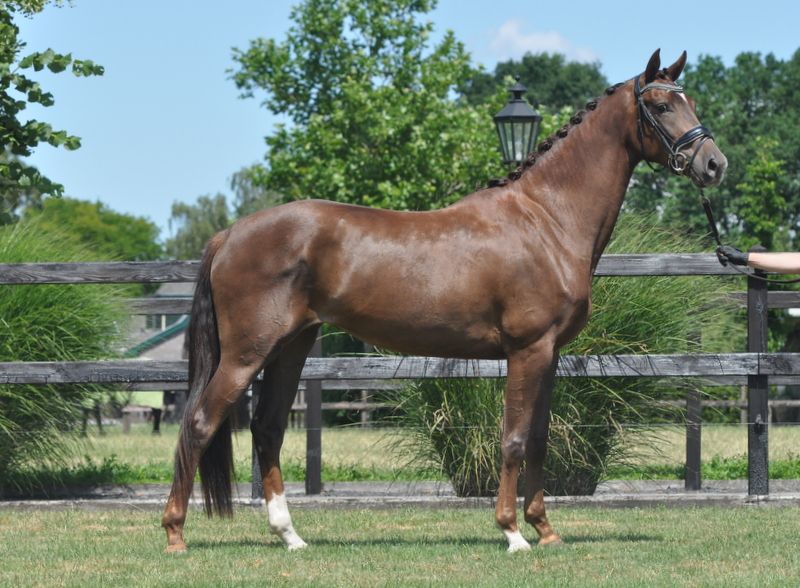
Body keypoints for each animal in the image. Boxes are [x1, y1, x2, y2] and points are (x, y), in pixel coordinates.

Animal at [161, 49, 727, 554]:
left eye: (692, 100)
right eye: (661, 104)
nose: (714, 164)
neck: (546, 218)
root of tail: (229, 234)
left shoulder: (550, 355)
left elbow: (539, 439)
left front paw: (545, 530)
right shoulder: (527, 351)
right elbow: (513, 439)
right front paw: (512, 533)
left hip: (291, 346)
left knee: (268, 427)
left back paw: (290, 536)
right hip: (247, 353)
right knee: (199, 422)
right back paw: (175, 534)